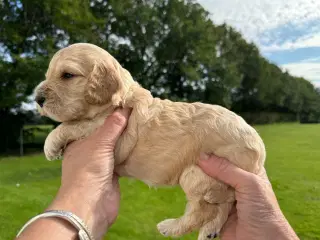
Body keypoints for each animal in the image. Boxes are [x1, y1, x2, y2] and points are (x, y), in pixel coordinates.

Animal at [33, 43, 266, 240]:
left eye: (67, 75)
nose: (37, 99)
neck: (120, 98)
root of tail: (259, 150)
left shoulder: (106, 127)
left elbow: (74, 125)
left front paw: (51, 145)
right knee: (223, 206)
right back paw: (209, 231)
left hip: (197, 175)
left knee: (201, 211)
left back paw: (170, 227)